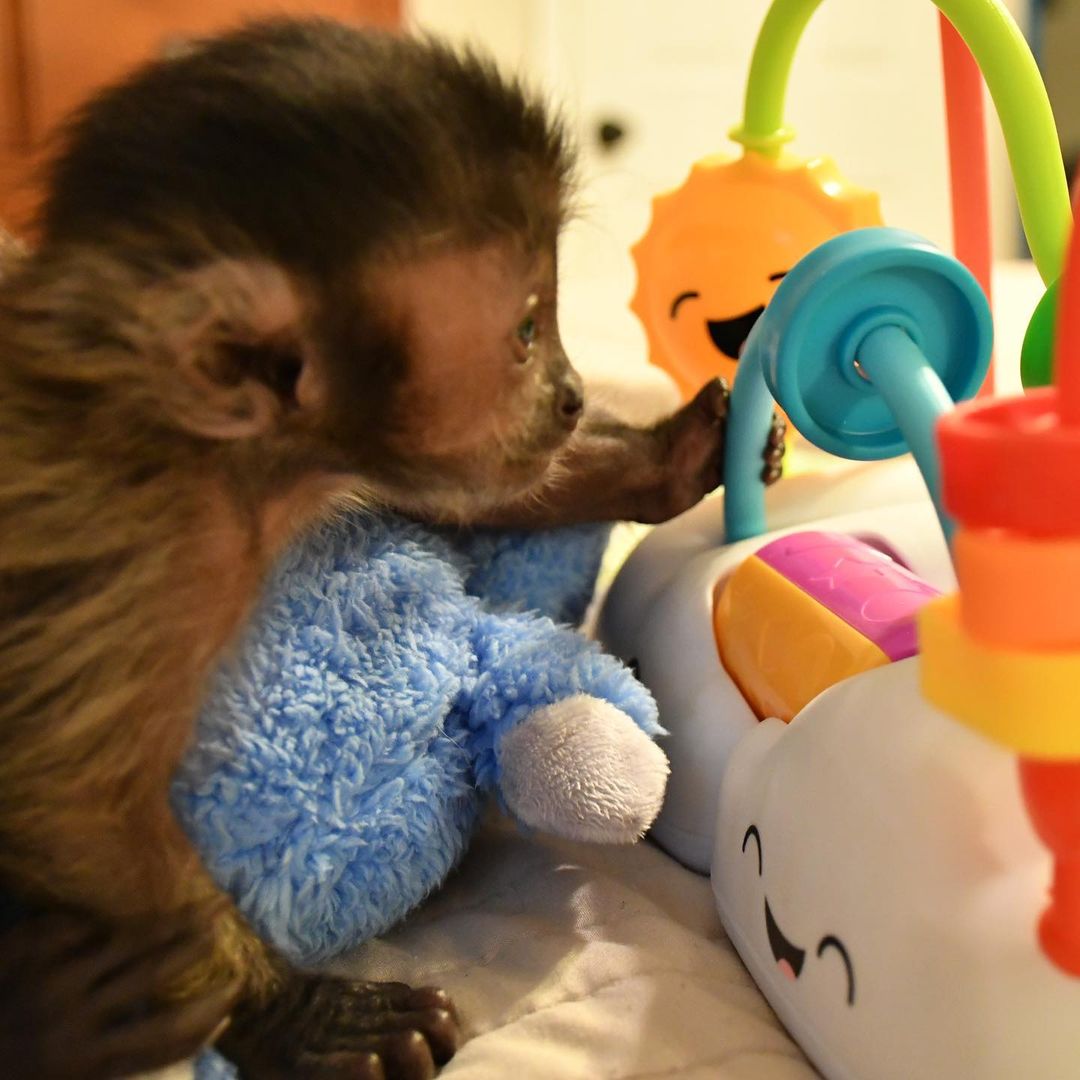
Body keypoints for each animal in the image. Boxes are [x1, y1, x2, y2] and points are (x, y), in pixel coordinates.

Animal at [0, 18, 783, 1079]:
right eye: (527, 331)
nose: (576, 394)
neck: (230, 460)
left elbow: (473, 490)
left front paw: (674, 458)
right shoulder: (139, 543)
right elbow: (66, 792)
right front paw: (298, 1017)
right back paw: (58, 1017)